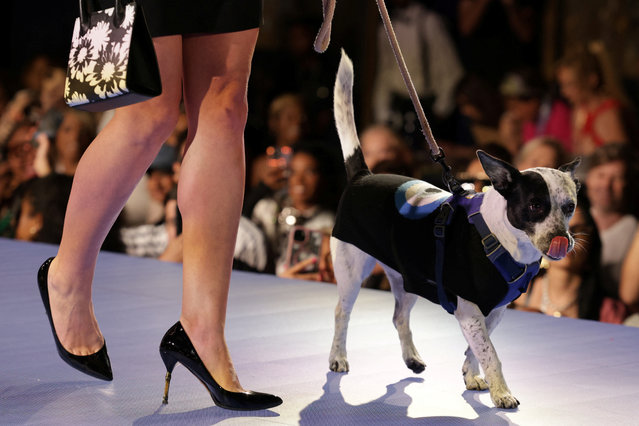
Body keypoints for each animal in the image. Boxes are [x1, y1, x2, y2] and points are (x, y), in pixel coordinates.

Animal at [328, 51, 584, 408]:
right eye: (535, 205)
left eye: (570, 206)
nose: (563, 240)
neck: (502, 239)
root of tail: (362, 175)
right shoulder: (470, 310)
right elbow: (491, 353)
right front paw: (502, 392)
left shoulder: (492, 311)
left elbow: (478, 348)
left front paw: (473, 376)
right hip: (352, 271)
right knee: (342, 313)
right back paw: (338, 357)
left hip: (407, 278)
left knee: (399, 317)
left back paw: (411, 357)